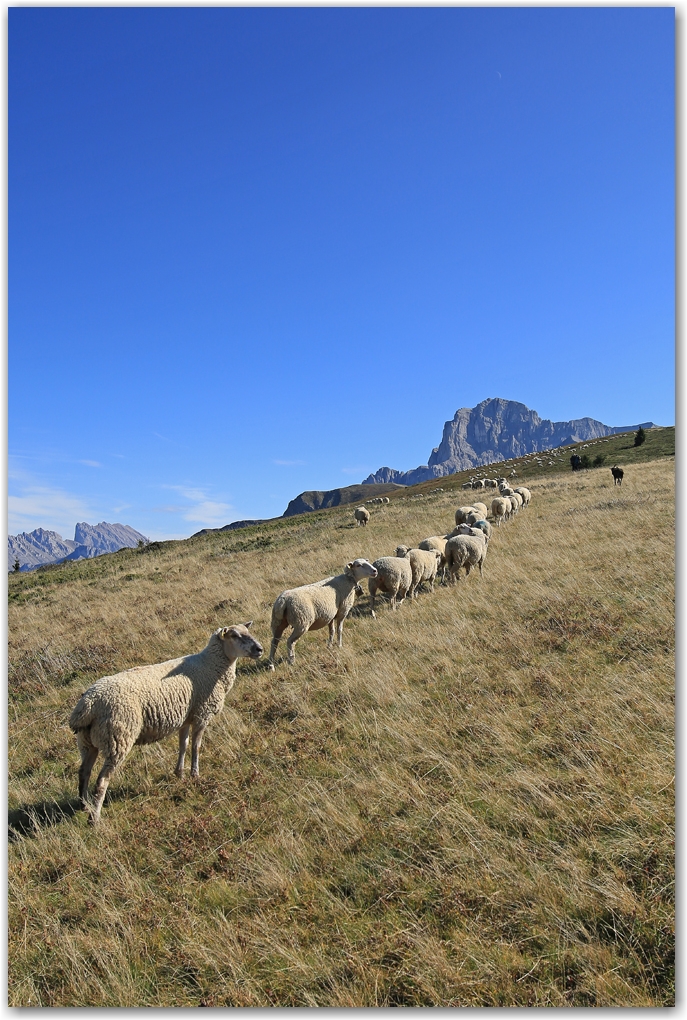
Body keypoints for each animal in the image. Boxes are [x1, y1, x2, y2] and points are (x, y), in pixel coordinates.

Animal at [69, 620, 262, 828]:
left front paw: (179, 773)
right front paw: (195, 774)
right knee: (102, 781)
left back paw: (84, 805)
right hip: (117, 738)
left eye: (247, 631)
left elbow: (183, 745)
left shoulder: (186, 717)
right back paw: (94, 819)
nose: (259, 649)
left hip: (87, 741)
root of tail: (88, 704)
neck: (212, 665)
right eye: (234, 635)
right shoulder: (202, 714)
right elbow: (196, 746)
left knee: (84, 772)